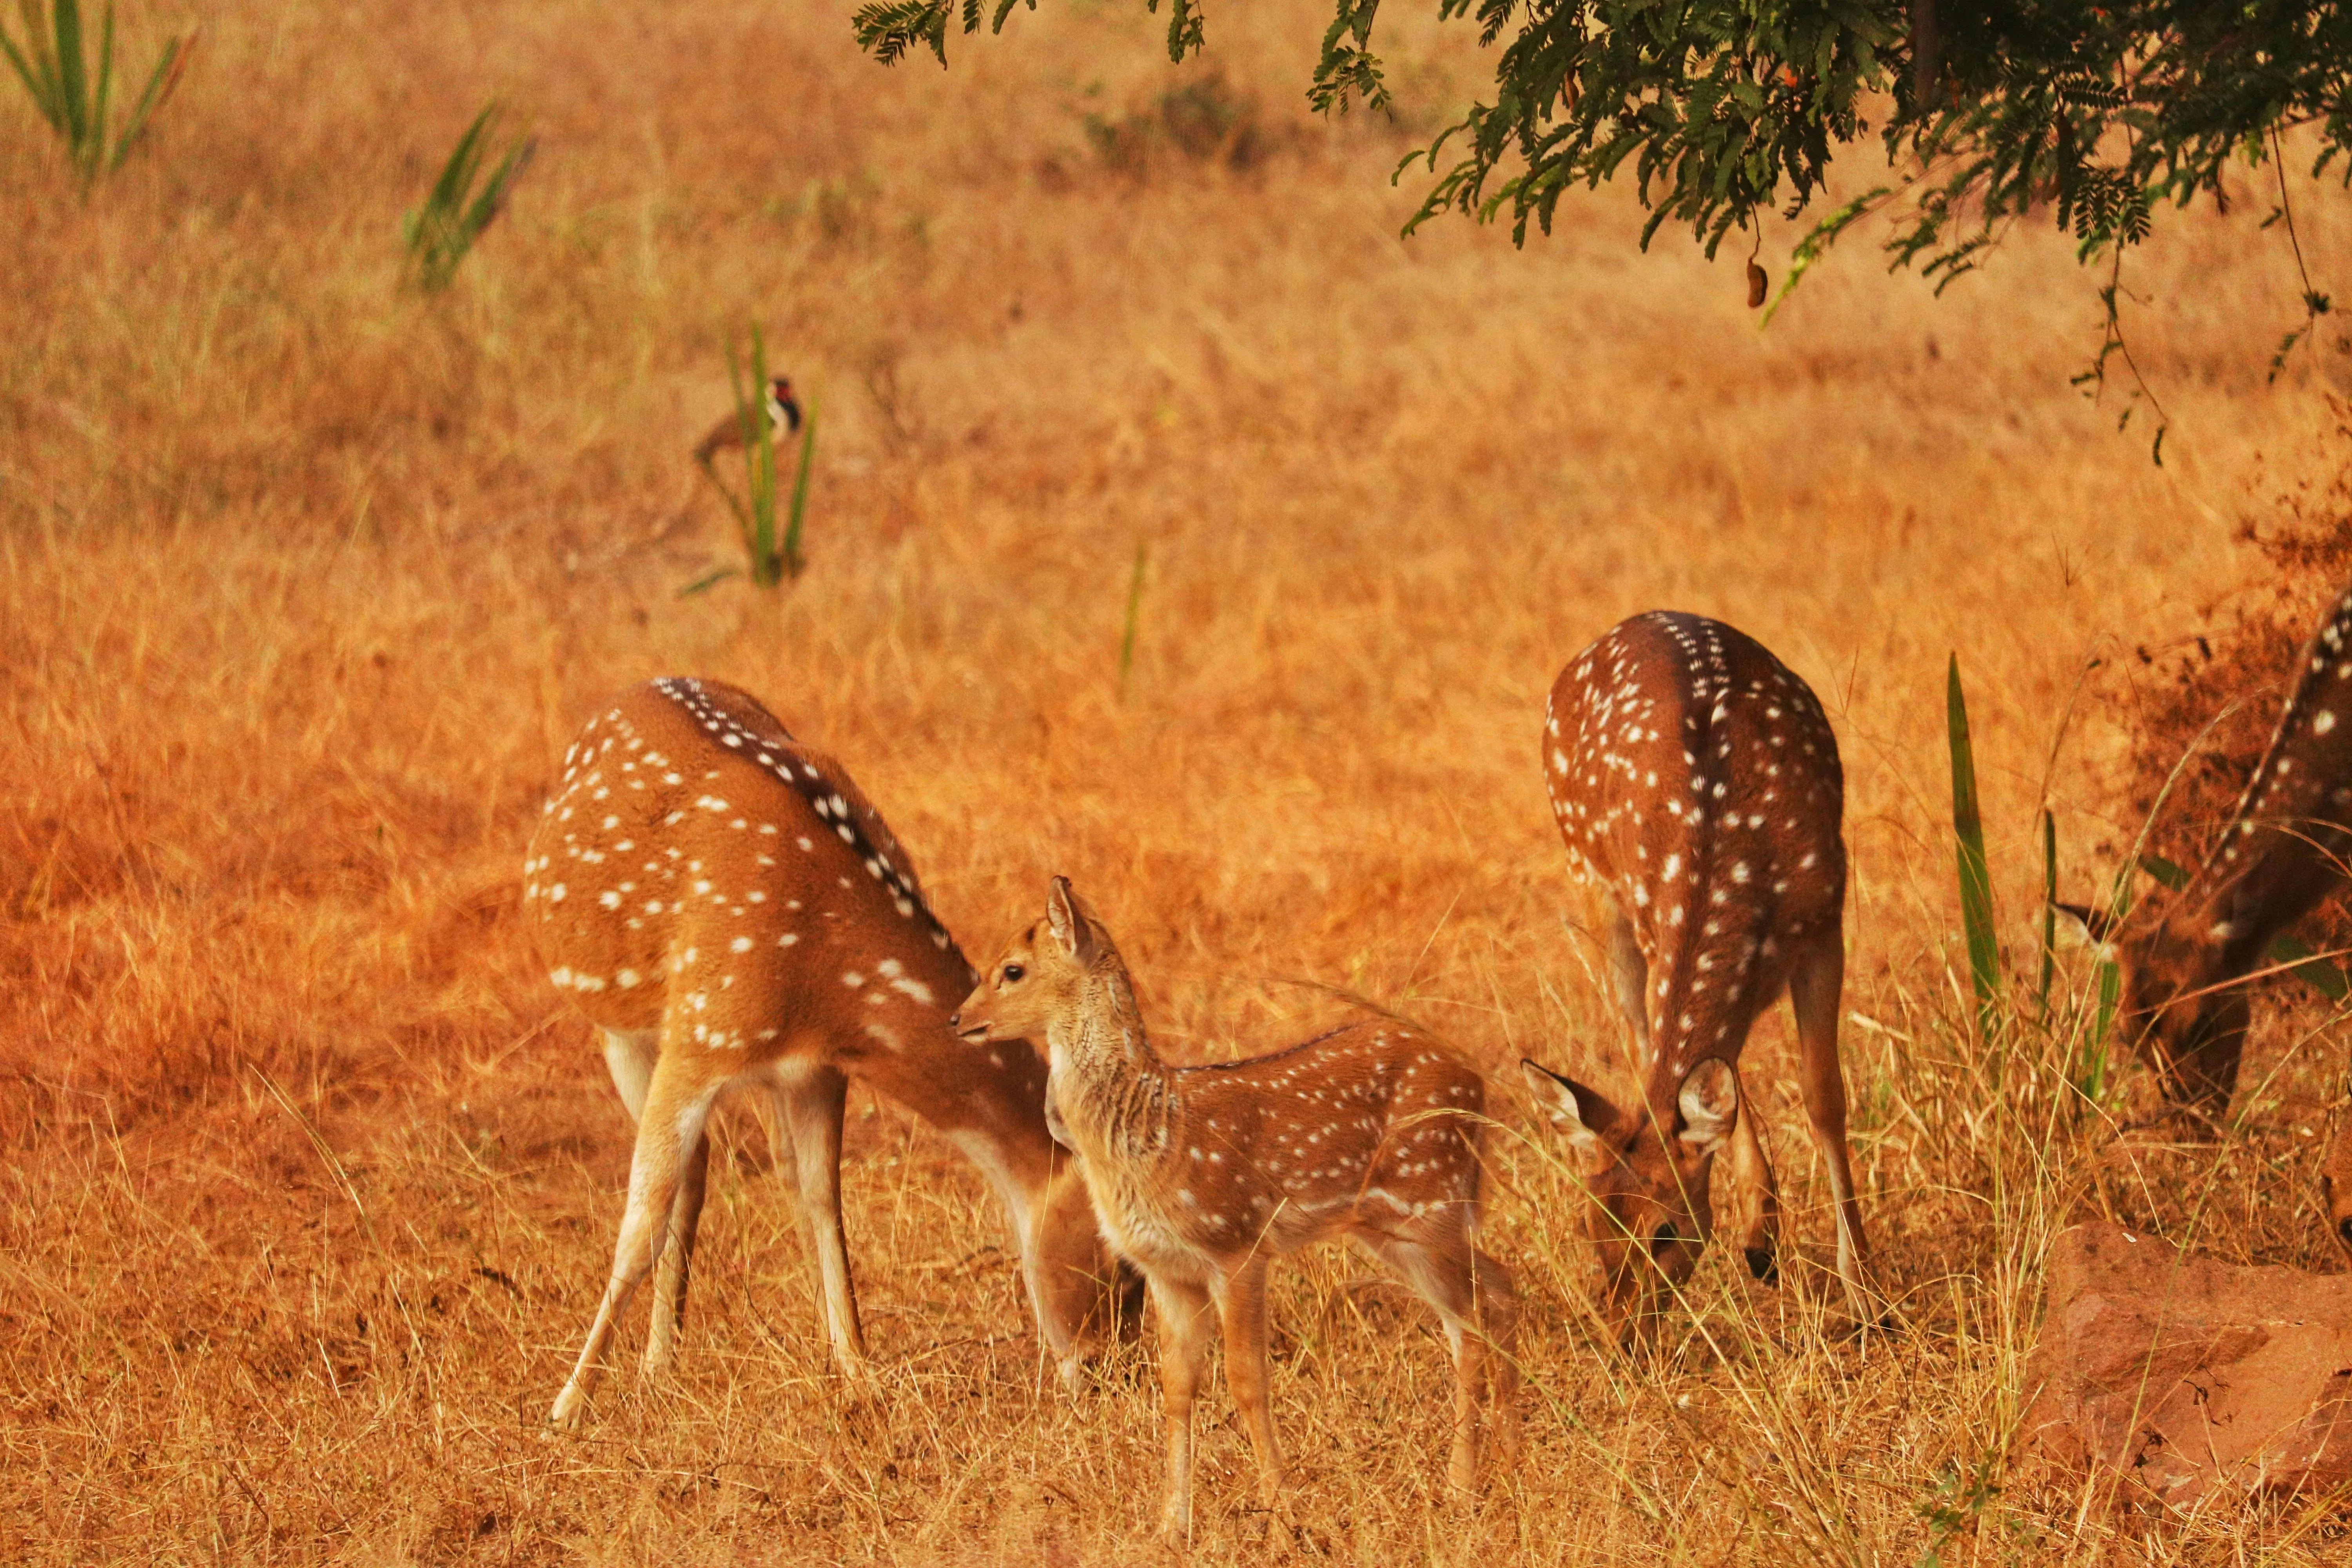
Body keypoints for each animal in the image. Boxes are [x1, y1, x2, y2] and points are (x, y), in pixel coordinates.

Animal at [525, 676, 1129, 1429]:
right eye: (1122, 1261)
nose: (1112, 1376)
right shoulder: (699, 1033)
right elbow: (639, 1224)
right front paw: (568, 1404)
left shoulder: (818, 1067)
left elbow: (823, 1202)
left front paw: (859, 1374)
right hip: (624, 1029)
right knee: (687, 1177)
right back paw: (654, 1364)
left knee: (751, 1174)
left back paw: (669, 1360)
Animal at [951, 878, 1519, 1541]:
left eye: (1013, 969)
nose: (958, 1019)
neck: (1152, 1131)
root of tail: (1477, 1082)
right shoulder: (1168, 1271)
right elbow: (1176, 1387)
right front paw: (1171, 1526)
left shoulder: (1238, 1244)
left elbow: (1248, 1382)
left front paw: (1283, 1520)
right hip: (1398, 1228)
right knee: (1494, 1294)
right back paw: (1504, 1464)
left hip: (1431, 1199)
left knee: (1474, 1323)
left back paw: (1462, 1488)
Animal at [1520, 610, 1868, 1333]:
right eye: (1590, 1229)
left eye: (1666, 1230)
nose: (1622, 1334)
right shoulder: (1656, 925)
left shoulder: (1826, 920)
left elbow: (1824, 1097)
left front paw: (1867, 1297)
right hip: (1594, 883)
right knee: (1644, 1043)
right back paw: (1761, 1236)